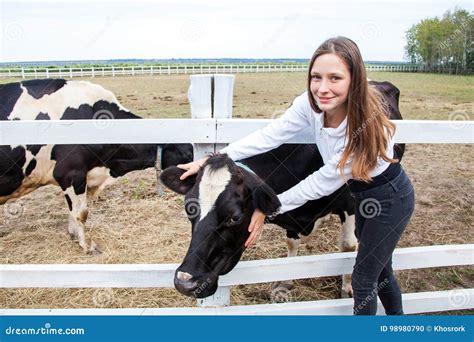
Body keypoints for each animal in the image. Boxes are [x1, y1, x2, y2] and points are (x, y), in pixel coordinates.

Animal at [0, 79, 193, 252]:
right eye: (186, 153)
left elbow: (72, 211)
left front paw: (73, 235)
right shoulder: (71, 173)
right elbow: (81, 213)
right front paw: (87, 245)